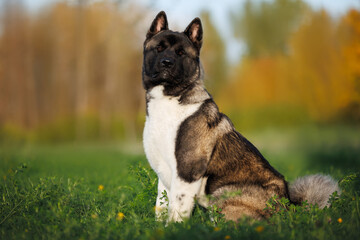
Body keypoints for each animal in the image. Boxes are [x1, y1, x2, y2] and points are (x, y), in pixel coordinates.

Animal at [141, 10, 340, 221]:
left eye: (181, 53)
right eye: (159, 48)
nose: (167, 62)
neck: (170, 98)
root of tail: (288, 207)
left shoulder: (187, 171)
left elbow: (176, 211)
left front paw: (174, 227)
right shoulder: (164, 174)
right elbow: (162, 206)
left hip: (220, 193)